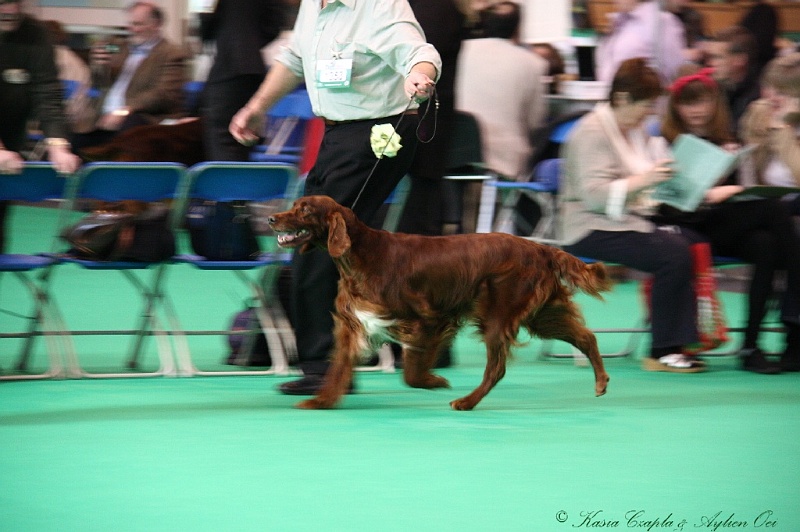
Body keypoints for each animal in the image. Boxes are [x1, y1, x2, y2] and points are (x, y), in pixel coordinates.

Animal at [268, 197, 612, 410]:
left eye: (304, 210)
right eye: (294, 205)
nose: (271, 218)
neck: (360, 256)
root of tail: (542, 249)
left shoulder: (429, 319)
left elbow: (411, 374)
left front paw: (434, 381)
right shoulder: (354, 325)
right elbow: (337, 370)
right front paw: (320, 401)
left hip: (499, 315)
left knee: (497, 368)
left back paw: (467, 402)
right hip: (540, 316)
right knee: (586, 337)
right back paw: (601, 381)